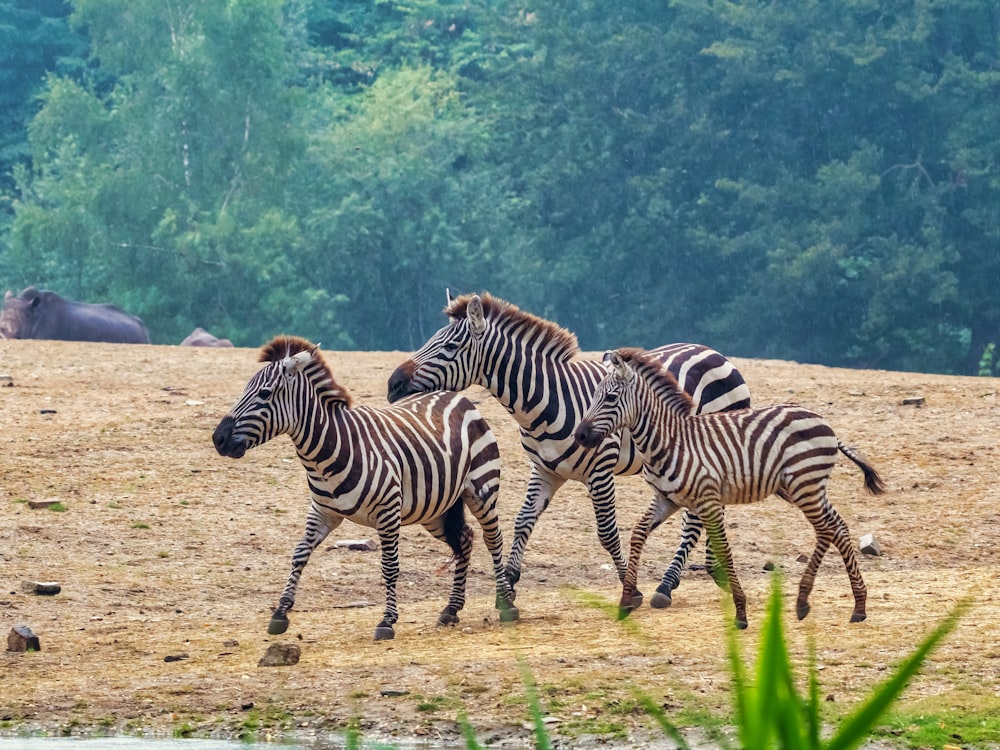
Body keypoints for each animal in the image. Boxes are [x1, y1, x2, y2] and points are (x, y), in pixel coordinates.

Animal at [214, 338, 520, 644]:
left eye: (264, 394)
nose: (218, 439)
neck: (328, 450)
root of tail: (455, 395)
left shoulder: (388, 510)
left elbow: (390, 565)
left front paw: (387, 620)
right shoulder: (322, 512)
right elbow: (300, 553)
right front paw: (280, 612)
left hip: (481, 489)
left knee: (493, 539)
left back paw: (506, 604)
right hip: (435, 507)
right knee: (465, 539)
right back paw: (451, 608)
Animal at [576, 350, 888, 632]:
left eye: (611, 398)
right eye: (593, 396)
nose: (579, 435)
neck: (670, 441)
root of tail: (824, 422)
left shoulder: (708, 500)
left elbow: (724, 550)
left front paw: (740, 611)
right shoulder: (666, 499)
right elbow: (638, 533)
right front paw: (626, 600)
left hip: (804, 485)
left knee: (825, 530)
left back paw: (803, 601)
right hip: (807, 487)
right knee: (837, 527)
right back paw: (859, 605)